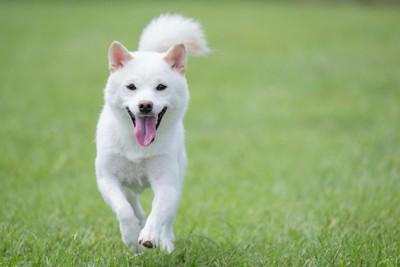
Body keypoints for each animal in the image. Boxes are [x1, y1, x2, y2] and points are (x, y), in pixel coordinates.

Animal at [94, 14, 209, 253]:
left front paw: (148, 236)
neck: (138, 146)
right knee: (132, 202)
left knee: (168, 220)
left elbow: (157, 214)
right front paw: (131, 238)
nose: (145, 105)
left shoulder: (166, 183)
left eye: (161, 87)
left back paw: (166, 244)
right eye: (131, 86)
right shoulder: (107, 178)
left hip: (178, 181)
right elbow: (123, 209)